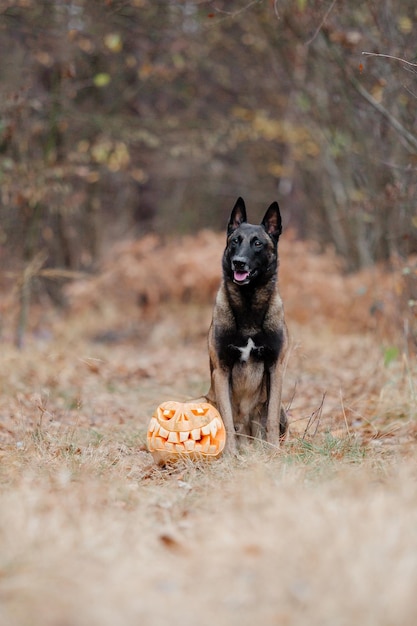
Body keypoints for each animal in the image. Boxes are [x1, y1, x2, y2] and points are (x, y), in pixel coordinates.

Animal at [204, 196, 288, 454]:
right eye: (235, 241)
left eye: (257, 243)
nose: (238, 263)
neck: (249, 303)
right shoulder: (221, 370)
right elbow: (227, 420)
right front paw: (230, 455)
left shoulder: (275, 367)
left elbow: (270, 418)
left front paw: (274, 452)